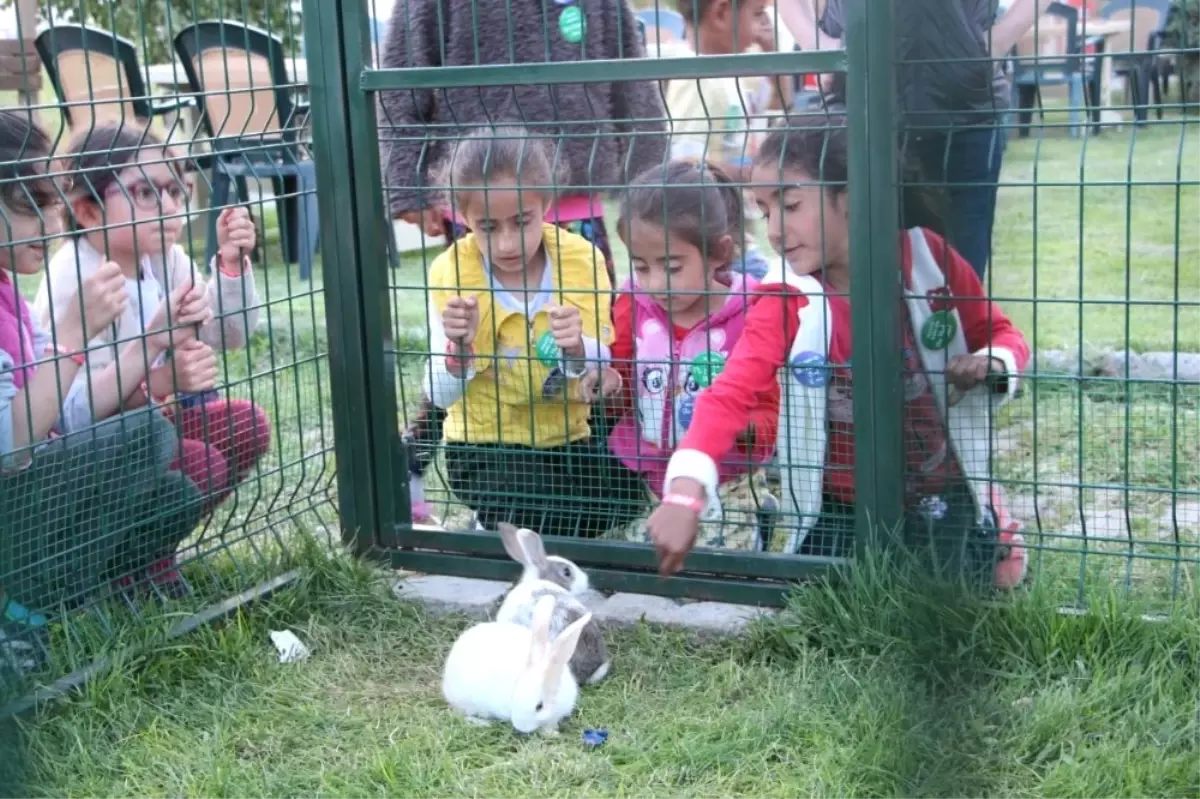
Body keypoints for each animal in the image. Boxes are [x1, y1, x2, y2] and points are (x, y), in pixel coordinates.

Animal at [441, 595, 590, 729]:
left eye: (539, 706)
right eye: (514, 696)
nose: (520, 727)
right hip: (467, 701)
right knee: (459, 714)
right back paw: (481, 723)